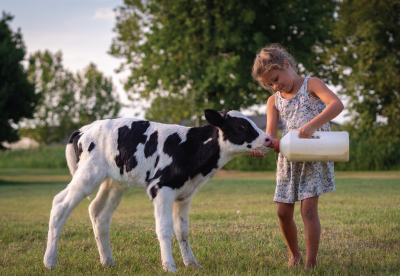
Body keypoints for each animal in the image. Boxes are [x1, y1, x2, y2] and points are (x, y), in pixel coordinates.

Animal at [43, 108, 272, 272]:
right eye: (241, 126)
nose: (269, 138)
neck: (190, 148)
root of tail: (82, 130)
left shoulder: (185, 194)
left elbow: (183, 231)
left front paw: (192, 264)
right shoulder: (161, 188)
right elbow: (164, 229)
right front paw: (169, 266)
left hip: (115, 182)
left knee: (99, 213)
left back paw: (107, 261)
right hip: (88, 174)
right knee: (60, 205)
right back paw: (50, 262)